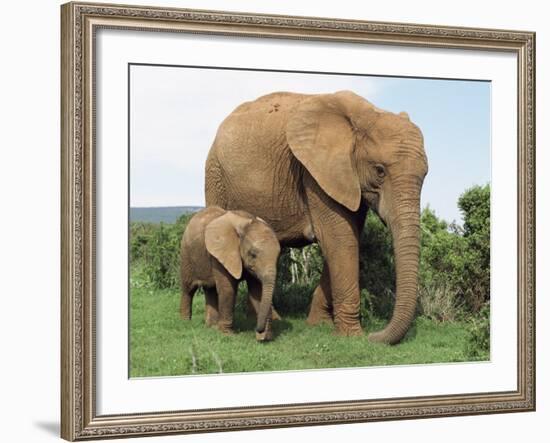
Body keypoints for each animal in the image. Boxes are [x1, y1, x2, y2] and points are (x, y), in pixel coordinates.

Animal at [181, 206, 282, 342]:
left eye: (278, 256)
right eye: (253, 254)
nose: (258, 329)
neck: (246, 221)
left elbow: (257, 291)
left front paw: (265, 337)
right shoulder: (220, 253)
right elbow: (228, 289)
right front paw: (227, 334)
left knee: (210, 289)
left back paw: (211, 327)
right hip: (186, 254)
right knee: (188, 289)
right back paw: (186, 322)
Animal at [205, 90, 430, 346]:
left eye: (426, 174)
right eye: (379, 170)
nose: (374, 336)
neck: (364, 114)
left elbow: (347, 238)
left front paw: (319, 324)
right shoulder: (315, 173)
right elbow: (339, 239)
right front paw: (351, 336)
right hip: (215, 174)